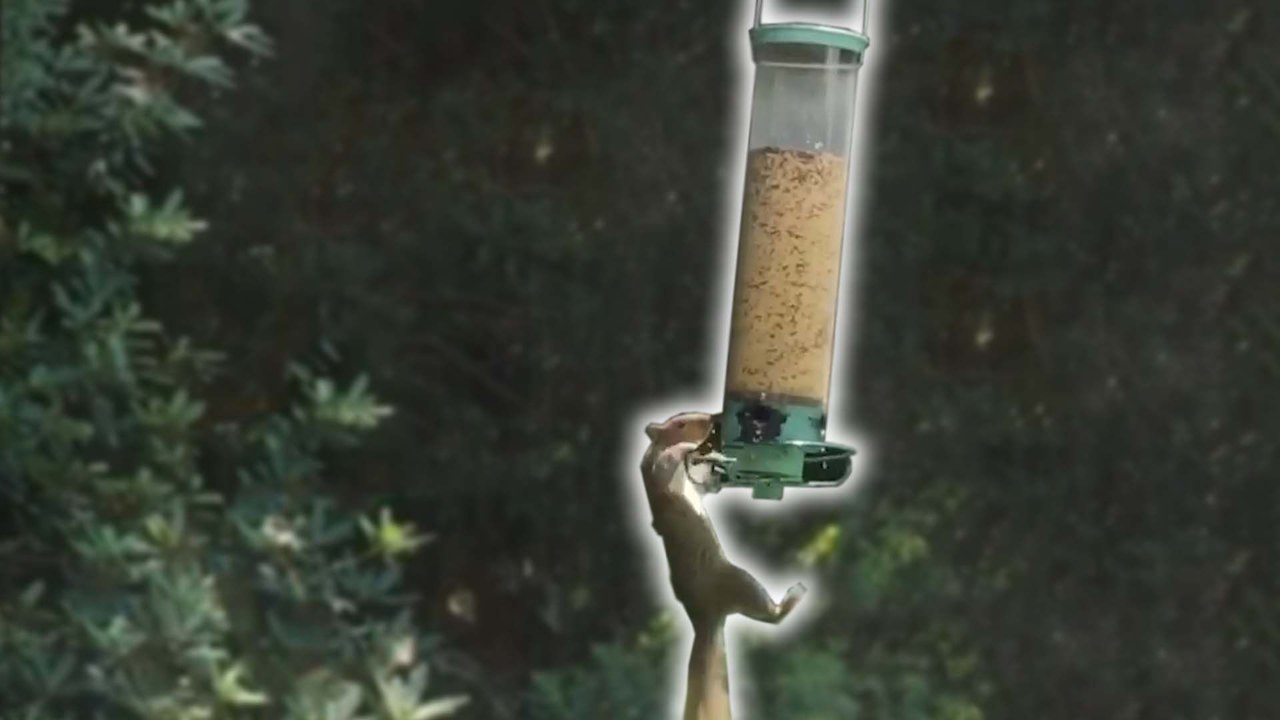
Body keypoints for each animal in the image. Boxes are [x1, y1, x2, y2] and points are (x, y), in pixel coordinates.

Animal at [641, 411, 807, 720]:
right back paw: (794, 596)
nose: (715, 417)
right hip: (740, 582)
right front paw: (697, 449)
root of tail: (705, 619)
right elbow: (671, 458)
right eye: (680, 423)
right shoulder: (658, 469)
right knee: (773, 616)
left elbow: (704, 485)